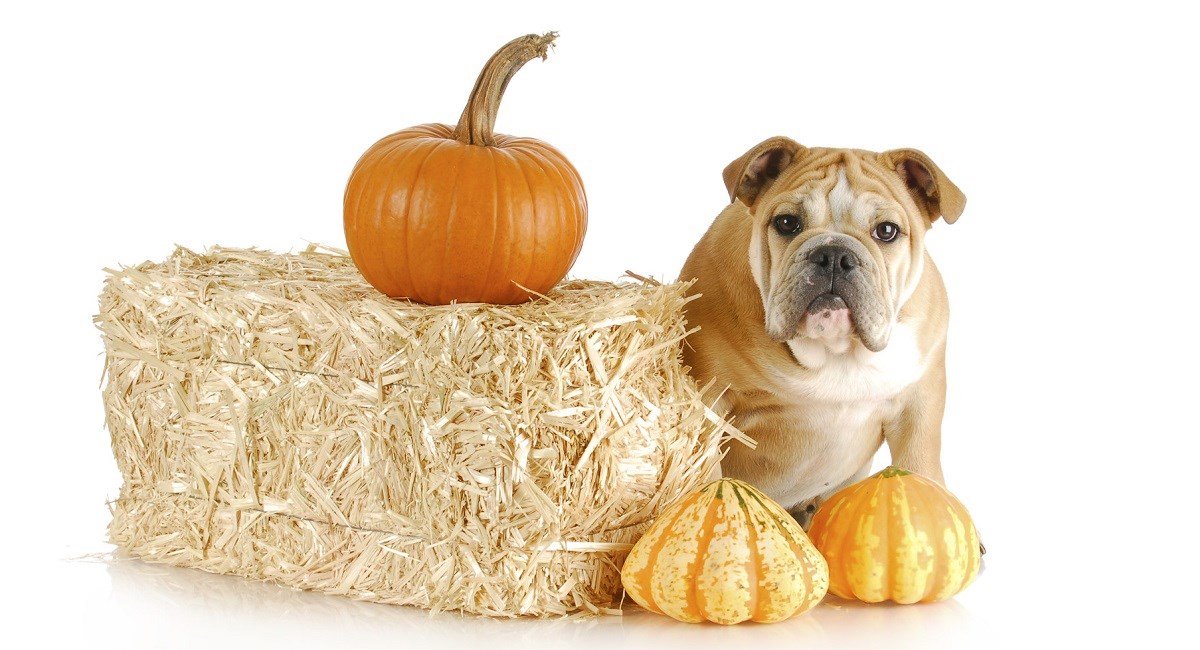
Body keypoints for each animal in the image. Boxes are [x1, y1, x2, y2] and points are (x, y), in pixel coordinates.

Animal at [686, 137, 964, 530]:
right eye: (787, 223)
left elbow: (919, 462)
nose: (834, 254)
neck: (833, 352)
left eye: (887, 231)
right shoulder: (711, 399)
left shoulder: (920, 399)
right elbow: (705, 469)